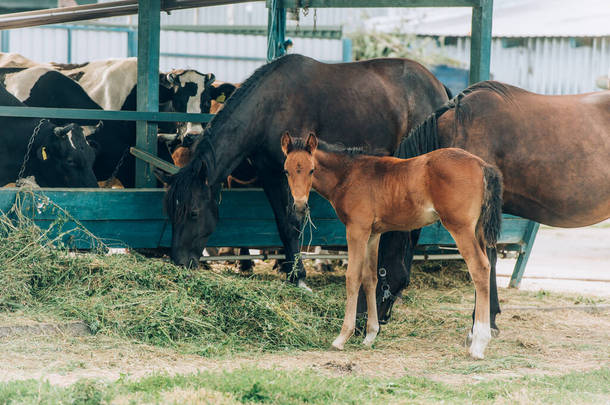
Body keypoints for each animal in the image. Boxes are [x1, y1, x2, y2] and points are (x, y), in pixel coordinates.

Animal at [282, 132, 502, 356]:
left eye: (311, 170)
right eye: (286, 171)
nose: (300, 206)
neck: (349, 175)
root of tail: (482, 164)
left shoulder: (357, 230)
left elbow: (353, 277)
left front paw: (342, 337)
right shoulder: (373, 234)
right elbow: (370, 278)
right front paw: (370, 335)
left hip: (460, 228)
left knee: (479, 267)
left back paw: (479, 343)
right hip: (478, 231)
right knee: (487, 265)